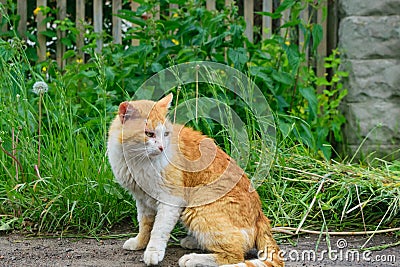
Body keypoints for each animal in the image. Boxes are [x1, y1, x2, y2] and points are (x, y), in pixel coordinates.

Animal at [106, 93, 282, 266]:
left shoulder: (170, 200)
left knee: (234, 254)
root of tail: (260, 215)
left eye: (165, 134)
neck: (136, 162)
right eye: (149, 134)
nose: (162, 147)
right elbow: (144, 224)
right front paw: (139, 243)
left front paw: (153, 252)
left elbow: (158, 229)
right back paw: (193, 242)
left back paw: (192, 258)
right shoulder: (142, 199)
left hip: (197, 207)